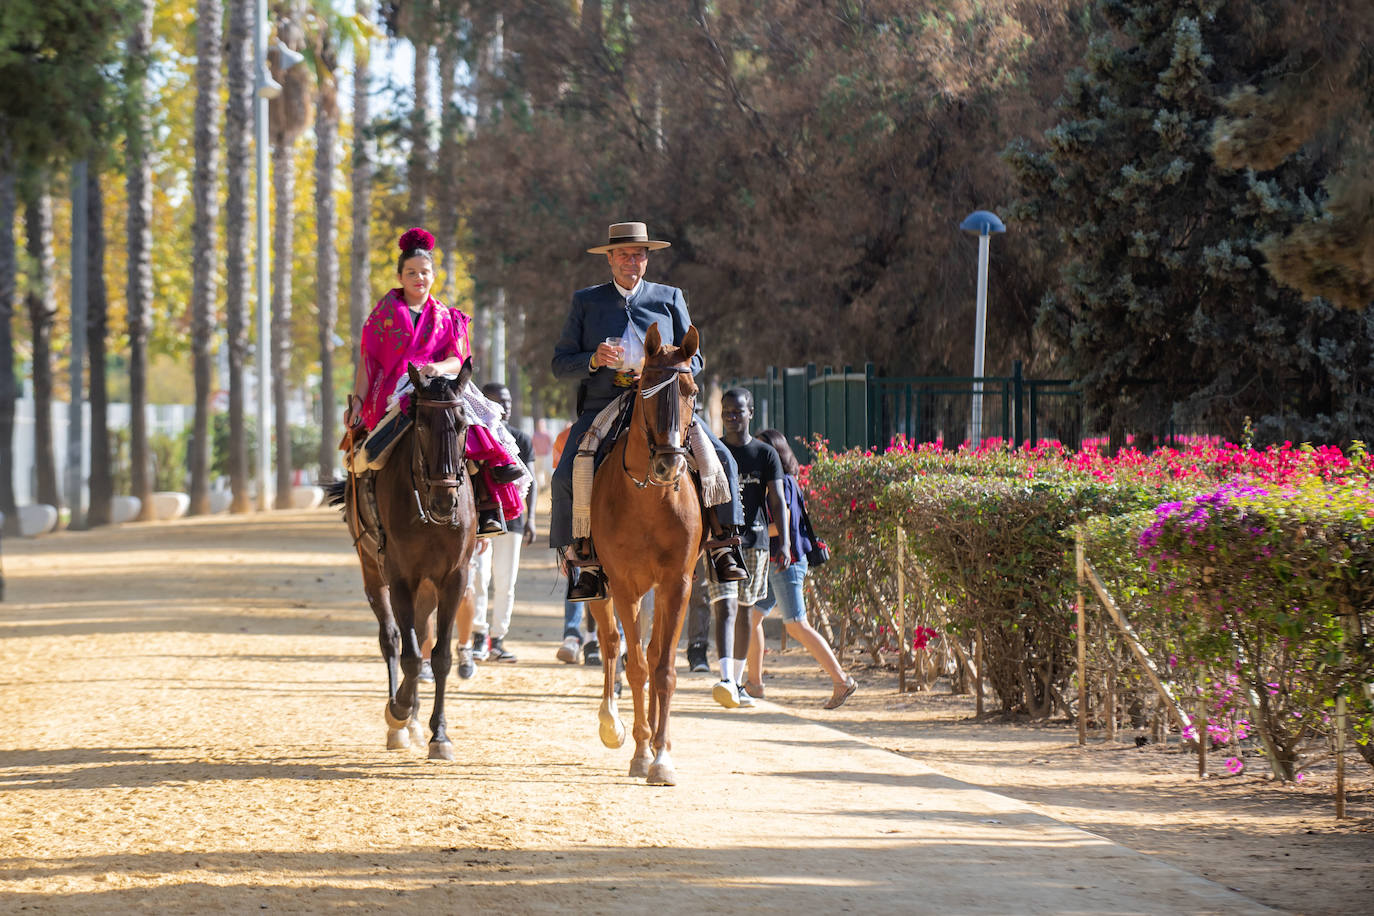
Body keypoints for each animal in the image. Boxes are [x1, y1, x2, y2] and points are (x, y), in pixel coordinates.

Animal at [339, 362, 478, 763]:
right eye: (421, 426)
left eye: (462, 424)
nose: (445, 501)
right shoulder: (401, 577)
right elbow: (411, 656)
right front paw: (398, 710)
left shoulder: (454, 578)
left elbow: (440, 657)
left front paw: (439, 735)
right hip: (374, 571)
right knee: (392, 638)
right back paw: (401, 722)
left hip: (428, 587)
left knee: (421, 631)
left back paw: (415, 721)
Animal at [585, 324, 703, 791]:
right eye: (646, 391)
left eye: (691, 390)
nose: (670, 465)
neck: (651, 499)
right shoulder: (624, 585)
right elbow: (634, 665)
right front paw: (639, 753)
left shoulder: (677, 584)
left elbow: (663, 667)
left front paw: (662, 756)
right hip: (601, 587)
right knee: (612, 643)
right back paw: (612, 724)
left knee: (652, 655)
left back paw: (655, 739)